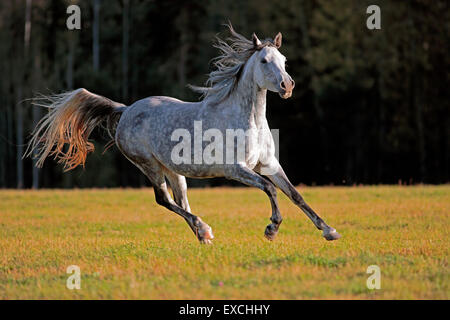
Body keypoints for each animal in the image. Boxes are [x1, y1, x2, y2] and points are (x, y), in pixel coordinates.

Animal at [27, 25, 342, 244]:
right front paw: (271, 230)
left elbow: (295, 194)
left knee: (180, 202)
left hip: (174, 170)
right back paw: (204, 229)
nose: (287, 86)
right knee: (164, 200)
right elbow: (270, 189)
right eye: (264, 61)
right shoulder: (236, 169)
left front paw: (329, 231)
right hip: (150, 166)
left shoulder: (269, 165)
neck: (247, 119)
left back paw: (203, 234)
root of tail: (126, 110)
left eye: (284, 59)